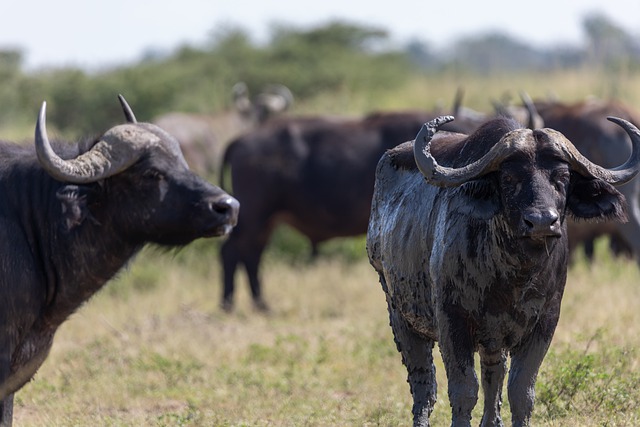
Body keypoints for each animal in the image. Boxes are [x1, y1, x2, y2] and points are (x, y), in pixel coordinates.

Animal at [218, 108, 482, 312]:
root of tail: (240, 140)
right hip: (254, 215)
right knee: (232, 252)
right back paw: (229, 304)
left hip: (266, 220)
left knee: (252, 255)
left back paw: (260, 304)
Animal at [364, 115, 640, 426]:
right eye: (509, 178)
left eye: (562, 177)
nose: (542, 221)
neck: (513, 277)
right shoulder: (451, 321)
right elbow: (463, 390)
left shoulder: (545, 323)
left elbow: (521, 391)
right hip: (398, 311)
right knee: (424, 383)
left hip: (492, 340)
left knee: (493, 375)